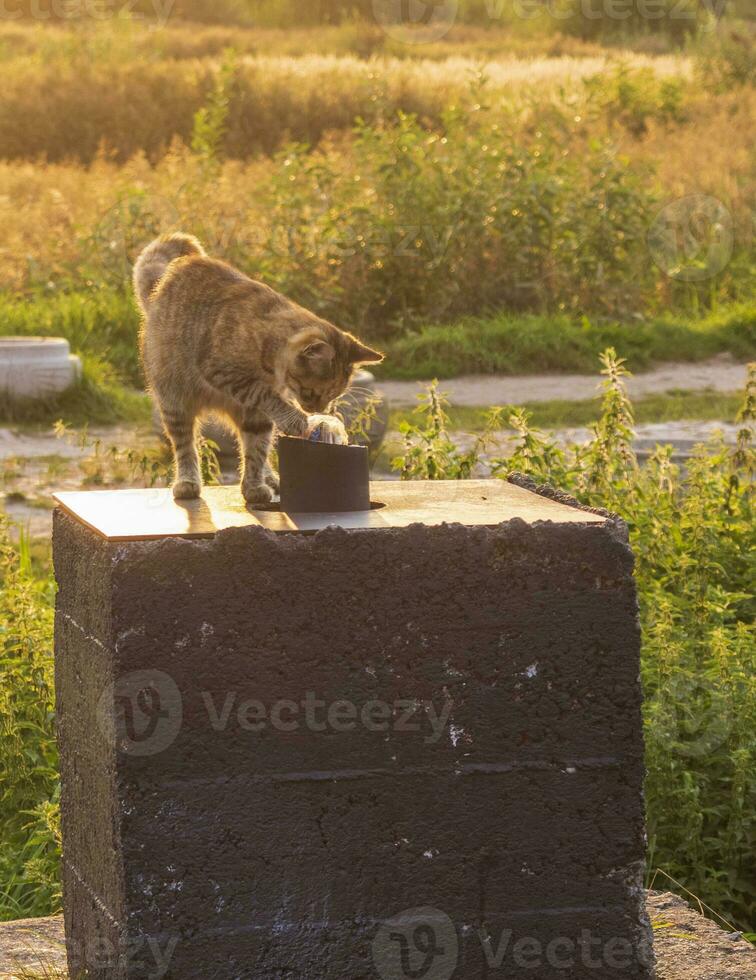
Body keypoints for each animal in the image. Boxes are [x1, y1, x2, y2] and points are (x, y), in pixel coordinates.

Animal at [131, 235, 384, 506]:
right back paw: (187, 482)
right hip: (175, 403)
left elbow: (256, 451)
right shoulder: (224, 372)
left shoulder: (257, 416)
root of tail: (163, 283)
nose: (317, 410)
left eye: (333, 396)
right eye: (311, 392)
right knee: (185, 445)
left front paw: (253, 486)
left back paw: (271, 479)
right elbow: (265, 397)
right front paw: (297, 419)